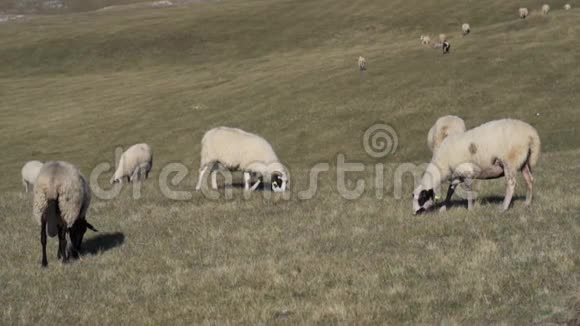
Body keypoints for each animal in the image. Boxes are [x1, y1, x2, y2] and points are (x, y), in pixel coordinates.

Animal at [412, 118, 540, 215]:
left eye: (422, 198)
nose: (415, 213)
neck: (442, 164)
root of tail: (532, 134)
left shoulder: (467, 173)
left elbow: (468, 192)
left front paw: (470, 209)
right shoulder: (457, 176)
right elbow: (450, 191)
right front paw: (443, 208)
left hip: (510, 161)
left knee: (511, 184)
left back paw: (504, 207)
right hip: (524, 162)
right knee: (529, 180)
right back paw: (527, 204)